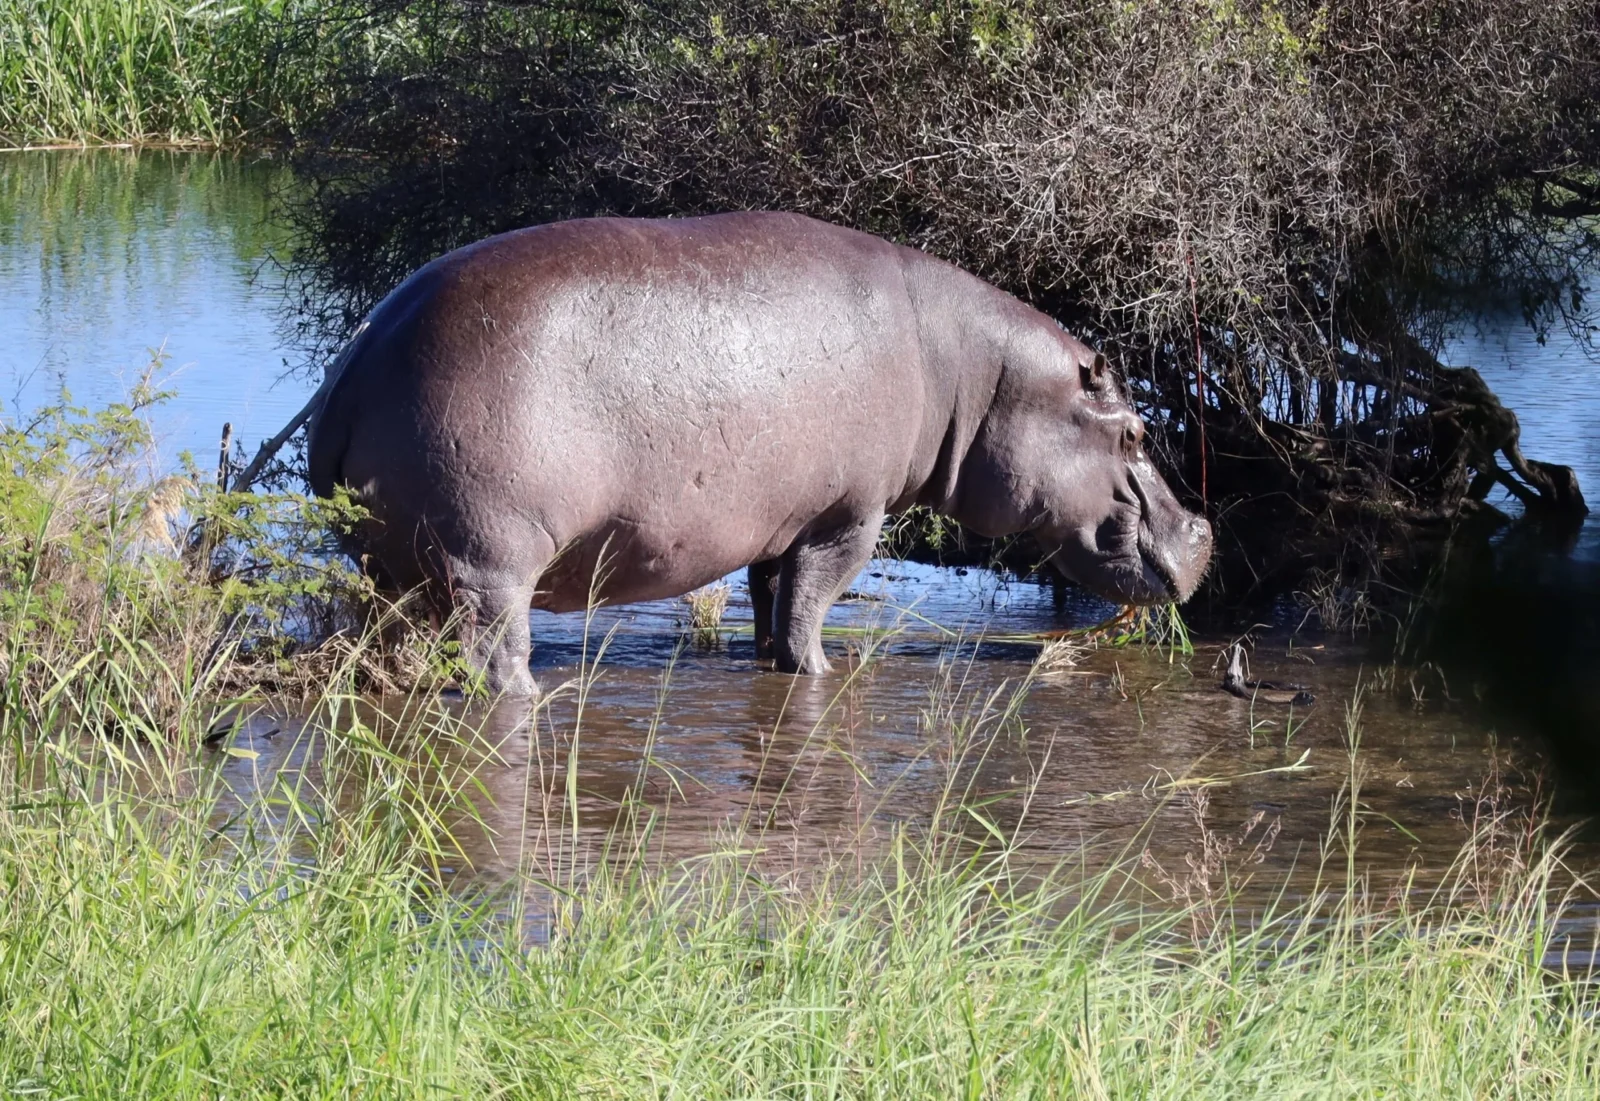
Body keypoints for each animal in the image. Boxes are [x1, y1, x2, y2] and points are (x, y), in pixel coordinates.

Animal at [307, 212, 1211, 695]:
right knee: (498, 656)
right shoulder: (850, 518)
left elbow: (775, 603)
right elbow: (813, 607)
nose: (1203, 531)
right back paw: (534, 691)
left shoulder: (786, 522)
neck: (974, 373)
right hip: (488, 560)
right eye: (1134, 432)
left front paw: (777, 659)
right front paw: (820, 673)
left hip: (386, 567)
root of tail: (359, 357)